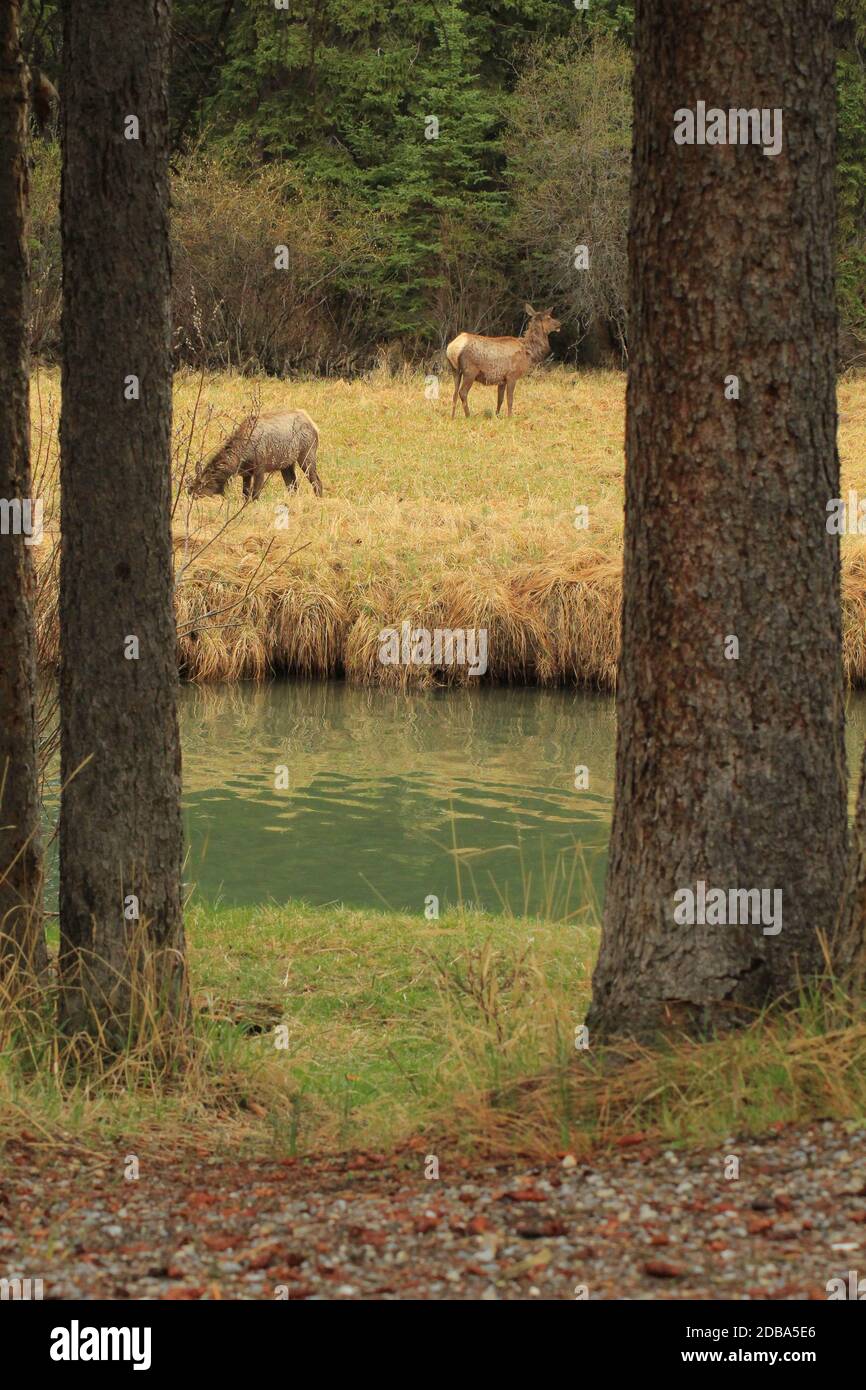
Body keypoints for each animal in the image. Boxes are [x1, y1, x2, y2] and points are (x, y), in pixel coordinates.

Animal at [187, 405, 323, 500]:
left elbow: (255, 495)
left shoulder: (259, 468)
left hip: (306, 456)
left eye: (200, 487)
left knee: (317, 481)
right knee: (293, 486)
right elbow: (245, 494)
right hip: (286, 465)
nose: (190, 494)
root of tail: (315, 426)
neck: (241, 457)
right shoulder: (246, 473)